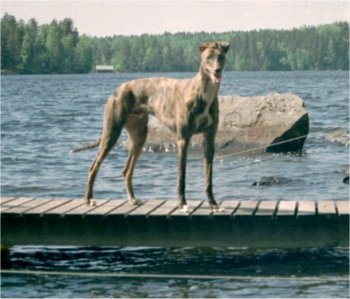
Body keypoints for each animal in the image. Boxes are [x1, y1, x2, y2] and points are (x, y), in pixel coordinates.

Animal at [72, 41, 230, 212]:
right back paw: (89, 200)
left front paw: (213, 204)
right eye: (208, 58)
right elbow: (181, 176)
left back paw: (133, 199)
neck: (203, 93)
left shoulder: (209, 139)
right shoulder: (183, 140)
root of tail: (118, 89)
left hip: (139, 137)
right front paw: (182, 203)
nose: (217, 70)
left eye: (221, 57)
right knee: (93, 167)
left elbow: (208, 177)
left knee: (127, 171)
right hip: (111, 133)